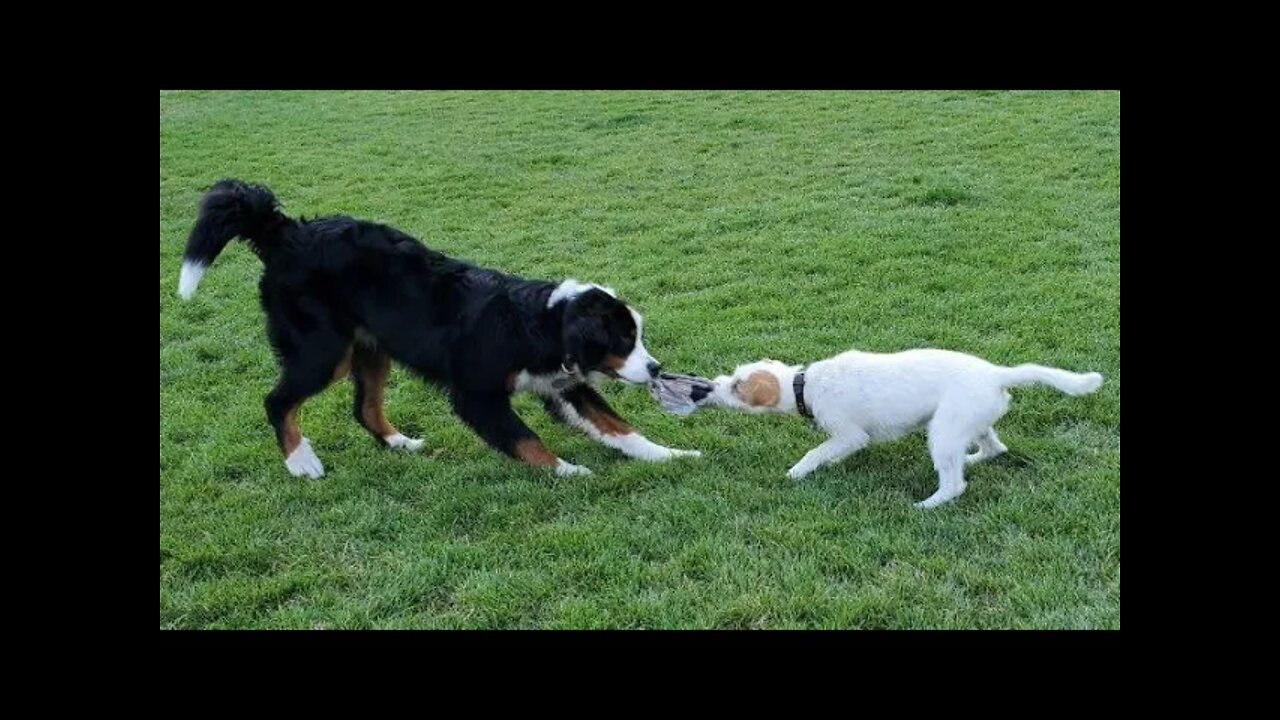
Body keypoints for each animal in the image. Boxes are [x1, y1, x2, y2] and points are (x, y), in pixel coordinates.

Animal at [176, 178, 701, 476]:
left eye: (638, 336)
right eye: (624, 339)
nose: (656, 369)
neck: (536, 323)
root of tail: (285, 231)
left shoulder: (563, 386)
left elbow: (620, 429)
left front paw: (670, 455)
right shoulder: (476, 394)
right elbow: (525, 439)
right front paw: (567, 471)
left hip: (372, 350)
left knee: (364, 409)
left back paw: (399, 443)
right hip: (322, 352)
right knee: (278, 401)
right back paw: (302, 463)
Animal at [701, 348, 1100, 504]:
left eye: (736, 387)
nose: (710, 387)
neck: (805, 383)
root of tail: (996, 374)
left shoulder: (850, 434)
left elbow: (817, 451)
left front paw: (797, 472)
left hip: (943, 431)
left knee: (954, 484)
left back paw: (929, 504)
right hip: (968, 421)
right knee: (993, 447)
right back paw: (972, 458)